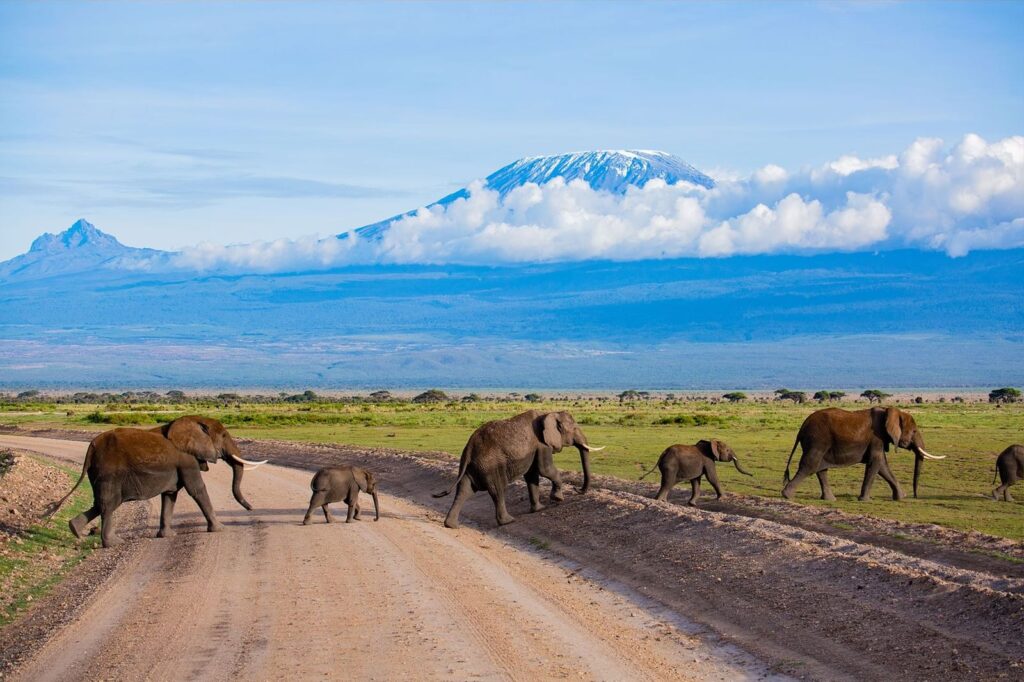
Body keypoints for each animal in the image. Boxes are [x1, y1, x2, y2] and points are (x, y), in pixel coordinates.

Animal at [44, 411, 268, 544]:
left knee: (100, 504)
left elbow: (170, 495)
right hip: (109, 472)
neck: (193, 420)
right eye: (223, 436)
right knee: (108, 504)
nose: (252, 509)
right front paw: (220, 529)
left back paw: (75, 530)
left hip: (98, 473)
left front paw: (167, 536)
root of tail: (90, 448)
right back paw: (113, 543)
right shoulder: (186, 460)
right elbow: (197, 489)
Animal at [430, 409, 598, 524]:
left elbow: (532, 476)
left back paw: (451, 525)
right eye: (574, 429)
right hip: (490, 465)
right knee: (498, 490)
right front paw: (557, 499)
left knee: (464, 490)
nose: (577, 489)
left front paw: (539, 509)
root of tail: (469, 447)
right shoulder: (542, 444)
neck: (548, 412)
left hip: (473, 466)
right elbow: (545, 470)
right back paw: (508, 521)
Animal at [782, 403, 942, 499]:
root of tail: (802, 428)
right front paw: (864, 500)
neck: (889, 411)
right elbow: (875, 463)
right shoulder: (877, 437)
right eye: (914, 431)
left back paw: (830, 499)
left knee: (820, 469)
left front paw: (901, 497)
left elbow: (883, 466)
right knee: (810, 465)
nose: (915, 496)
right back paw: (786, 496)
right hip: (817, 440)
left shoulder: (879, 440)